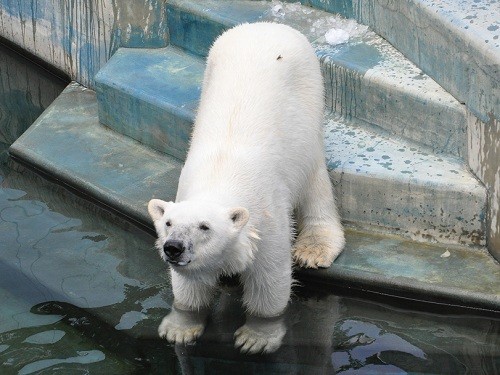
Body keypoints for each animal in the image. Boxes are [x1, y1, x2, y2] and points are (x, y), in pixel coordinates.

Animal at [146, 22, 346, 354]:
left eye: (205, 226)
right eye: (168, 223)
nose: (173, 247)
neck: (221, 175)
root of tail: (264, 25)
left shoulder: (266, 216)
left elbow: (269, 281)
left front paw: (256, 337)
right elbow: (190, 286)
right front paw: (180, 328)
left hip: (308, 101)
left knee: (314, 183)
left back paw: (314, 248)